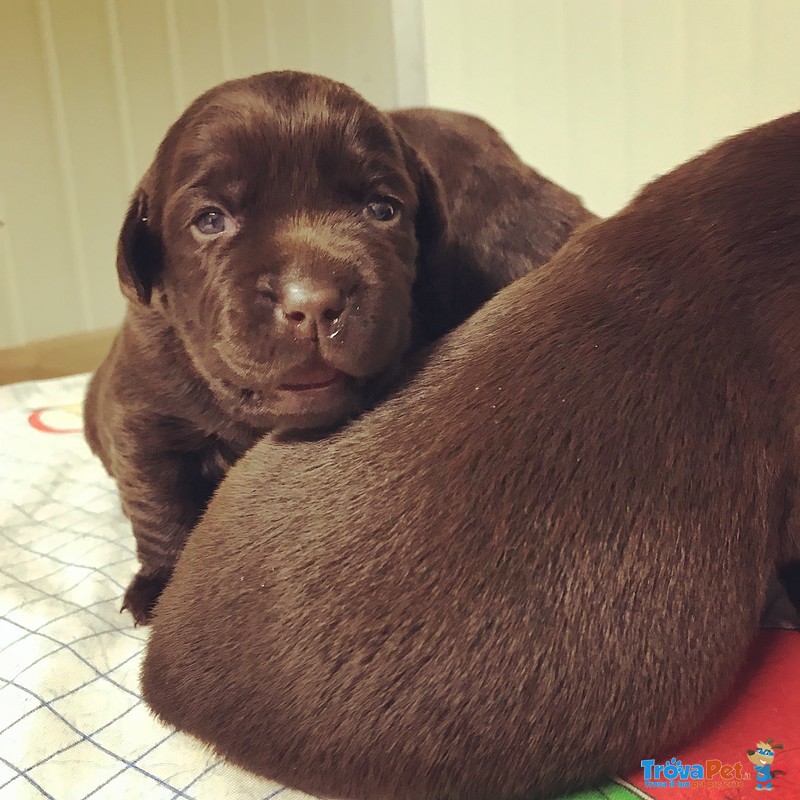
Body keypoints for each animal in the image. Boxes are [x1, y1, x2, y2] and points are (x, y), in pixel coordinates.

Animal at [84, 70, 592, 624]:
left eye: (382, 209)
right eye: (210, 220)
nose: (312, 303)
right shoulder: (141, 411)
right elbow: (160, 501)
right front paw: (160, 586)